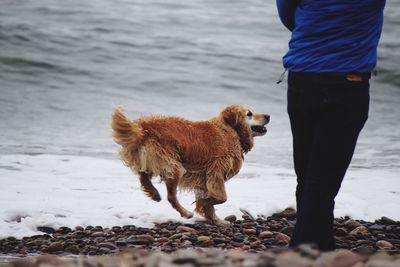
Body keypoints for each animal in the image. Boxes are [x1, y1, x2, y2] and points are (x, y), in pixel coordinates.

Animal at [111, 104, 270, 224]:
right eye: (249, 114)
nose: (268, 116)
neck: (231, 130)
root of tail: (144, 127)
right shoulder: (216, 171)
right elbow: (222, 198)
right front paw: (206, 205)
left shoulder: (203, 179)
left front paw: (215, 219)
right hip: (174, 166)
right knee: (170, 196)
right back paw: (185, 213)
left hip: (152, 159)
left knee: (143, 177)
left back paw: (154, 193)